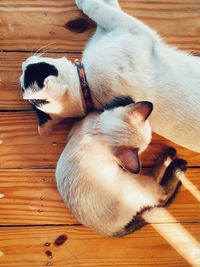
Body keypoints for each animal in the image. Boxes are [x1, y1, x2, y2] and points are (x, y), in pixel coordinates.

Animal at [19, 0, 200, 153]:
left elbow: (107, 8)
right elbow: (101, 9)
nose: (23, 63)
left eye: (30, 71)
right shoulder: (131, 29)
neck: (87, 89)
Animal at [55, 99, 187, 238]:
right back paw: (176, 163)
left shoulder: (78, 125)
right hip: (137, 180)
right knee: (162, 195)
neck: (99, 134)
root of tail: (111, 232)